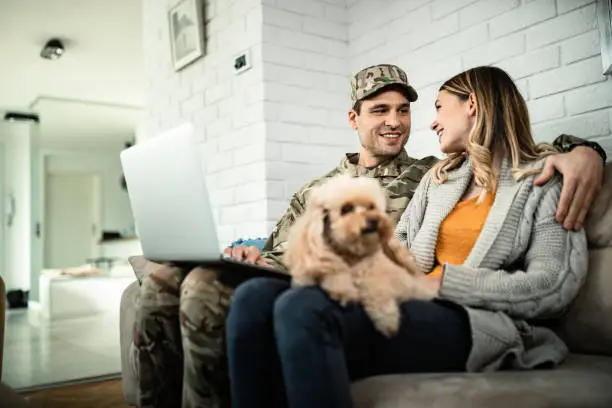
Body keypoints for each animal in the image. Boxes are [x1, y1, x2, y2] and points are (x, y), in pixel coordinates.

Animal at [284, 174, 438, 336]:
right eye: (346, 209)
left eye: (371, 207)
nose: (374, 219)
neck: (352, 255)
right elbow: (334, 272)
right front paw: (343, 290)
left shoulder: (391, 278)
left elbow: (376, 285)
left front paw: (386, 318)